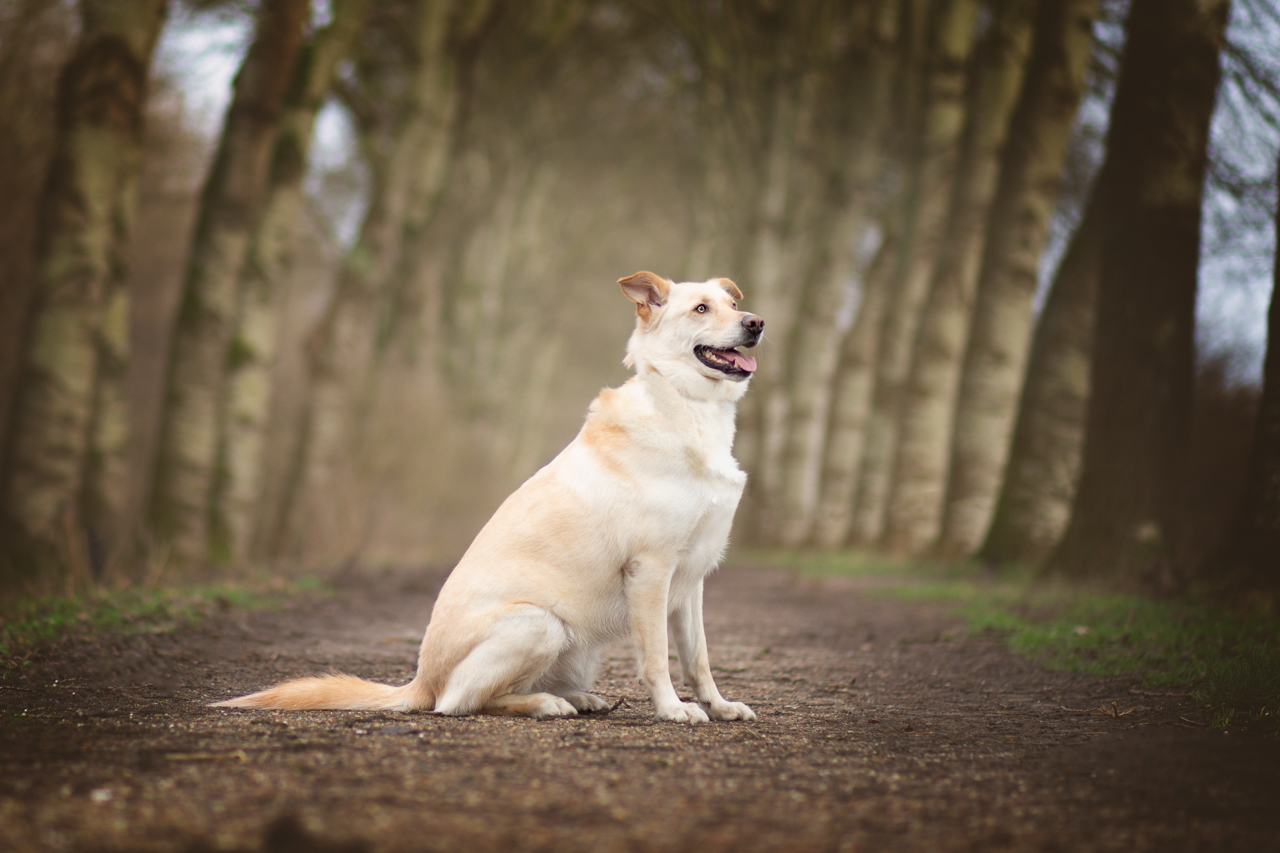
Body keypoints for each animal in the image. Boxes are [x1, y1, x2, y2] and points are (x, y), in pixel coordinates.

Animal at [215, 268, 762, 722]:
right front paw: (673, 710)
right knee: (460, 702)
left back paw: (577, 697)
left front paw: (718, 706)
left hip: (575, 646)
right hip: (540, 623)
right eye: (701, 309)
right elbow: (655, 659)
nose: (756, 322)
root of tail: (419, 682)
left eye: (733, 304)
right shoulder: (651, 570)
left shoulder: (690, 579)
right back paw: (545, 704)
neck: (690, 407)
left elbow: (698, 657)